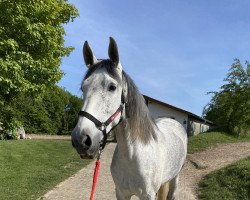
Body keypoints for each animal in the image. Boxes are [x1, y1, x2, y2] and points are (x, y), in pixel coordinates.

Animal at [71, 38, 187, 200]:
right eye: (83, 88)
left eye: (112, 87)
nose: (81, 140)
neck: (133, 155)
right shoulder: (121, 192)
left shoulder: (148, 195)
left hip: (176, 177)